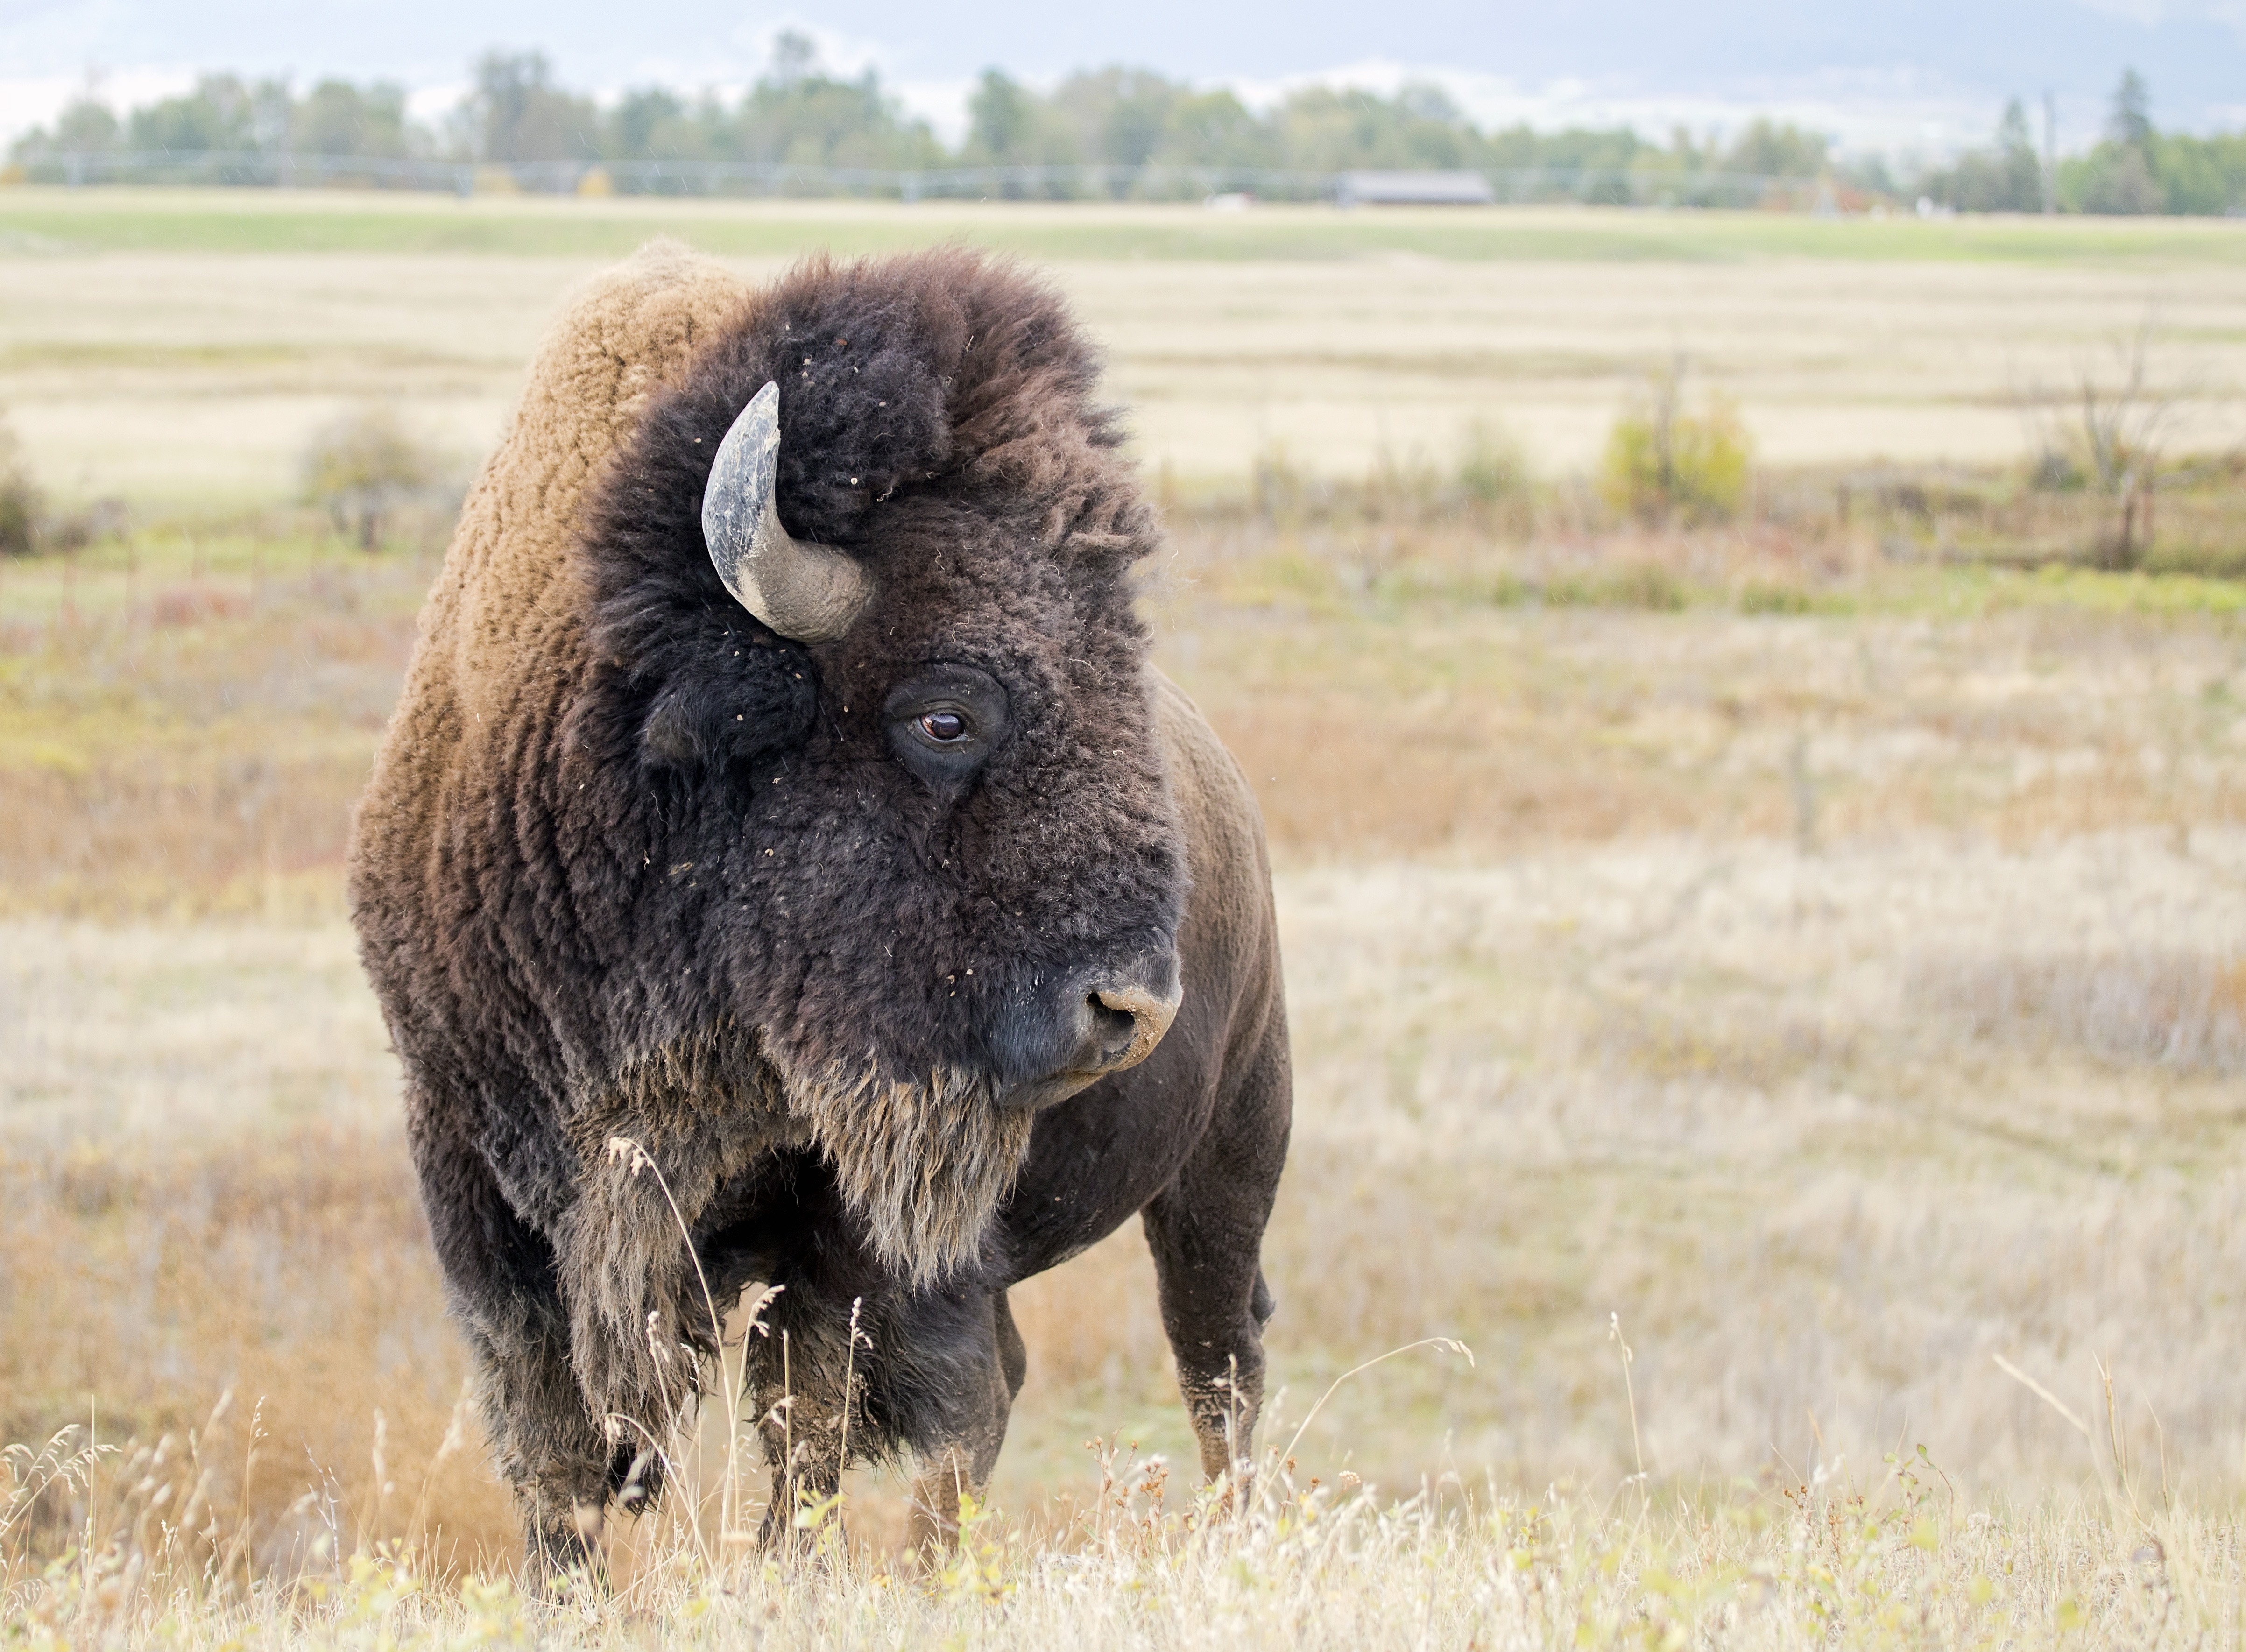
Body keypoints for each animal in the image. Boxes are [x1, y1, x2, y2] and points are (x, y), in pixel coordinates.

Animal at [347, 242, 1292, 1571]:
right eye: (945, 713)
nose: (1131, 1009)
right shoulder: (475, 1177)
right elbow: (554, 1455)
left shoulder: (847, 1232)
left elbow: (813, 1432)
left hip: (1232, 1150)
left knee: (1210, 1358)